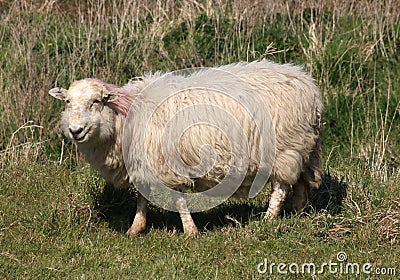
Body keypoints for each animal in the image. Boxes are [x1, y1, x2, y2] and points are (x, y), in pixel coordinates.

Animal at [50, 60, 324, 236]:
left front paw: (190, 231)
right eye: (68, 102)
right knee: (301, 180)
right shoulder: (143, 162)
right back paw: (298, 212)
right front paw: (136, 228)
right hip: (302, 148)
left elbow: (179, 200)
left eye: (97, 101)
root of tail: (307, 83)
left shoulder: (169, 165)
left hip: (283, 149)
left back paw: (267, 220)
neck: (126, 118)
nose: (76, 131)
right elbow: (142, 197)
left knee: (280, 188)